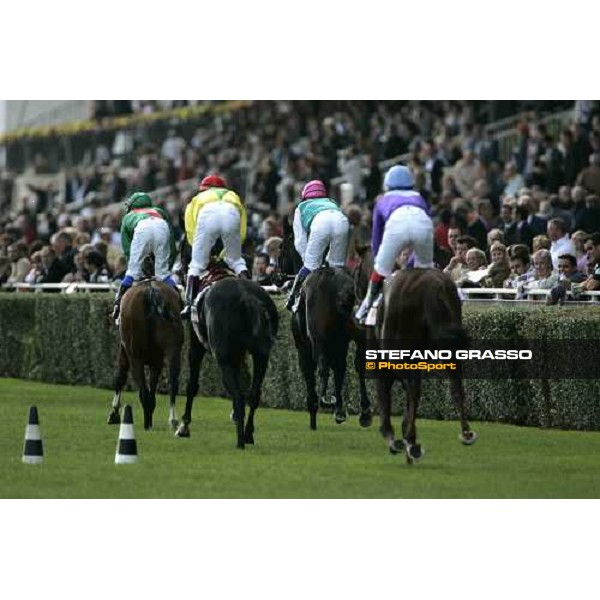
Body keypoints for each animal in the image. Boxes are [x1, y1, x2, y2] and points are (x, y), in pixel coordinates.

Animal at [107, 278, 183, 434]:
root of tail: (151, 291)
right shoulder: (157, 361)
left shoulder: (124, 350)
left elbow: (120, 376)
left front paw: (114, 413)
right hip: (173, 349)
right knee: (173, 381)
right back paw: (172, 420)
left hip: (135, 355)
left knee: (142, 390)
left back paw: (147, 423)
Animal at [172, 262, 278, 450]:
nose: (178, 272)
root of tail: (247, 298)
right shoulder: (239, 354)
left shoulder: (197, 345)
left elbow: (192, 385)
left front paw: (183, 426)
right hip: (261, 357)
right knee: (254, 394)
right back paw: (248, 434)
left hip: (224, 359)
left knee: (239, 395)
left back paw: (240, 441)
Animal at [280, 216, 372, 432]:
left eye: (281, 247)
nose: (276, 275)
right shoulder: (341, 342)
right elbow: (340, 369)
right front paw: (340, 409)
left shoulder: (303, 346)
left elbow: (312, 371)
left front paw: (315, 411)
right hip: (358, 333)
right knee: (360, 364)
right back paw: (364, 411)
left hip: (318, 336)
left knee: (322, 364)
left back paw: (325, 400)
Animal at [356, 246, 478, 462]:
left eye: (355, 271)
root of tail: (435, 287)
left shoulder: (381, 362)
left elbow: (386, 392)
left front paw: (393, 435)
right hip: (449, 347)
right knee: (455, 385)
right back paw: (465, 433)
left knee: (413, 389)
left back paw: (410, 442)